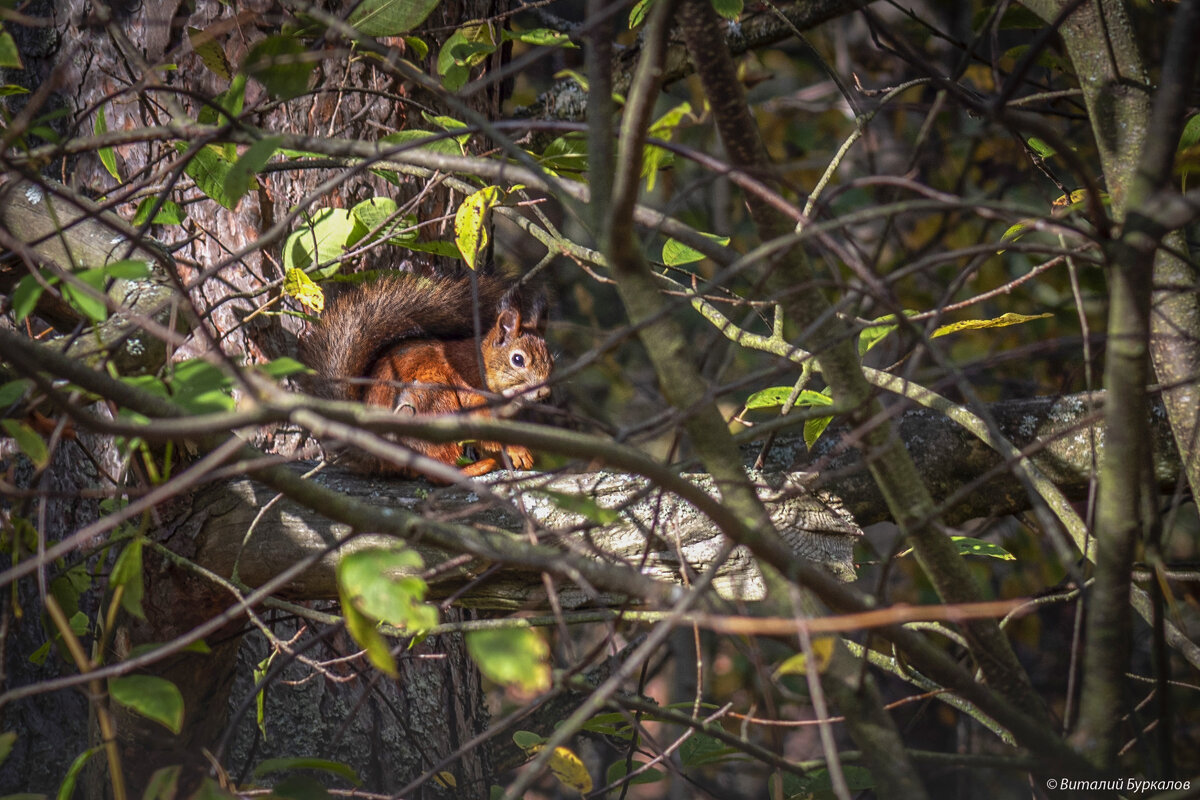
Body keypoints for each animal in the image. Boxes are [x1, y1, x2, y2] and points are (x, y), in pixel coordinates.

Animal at [304, 272, 556, 479]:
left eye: (552, 359)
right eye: (518, 359)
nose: (545, 392)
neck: (484, 366)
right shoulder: (471, 393)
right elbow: (485, 428)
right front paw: (517, 450)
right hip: (435, 403)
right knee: (437, 474)